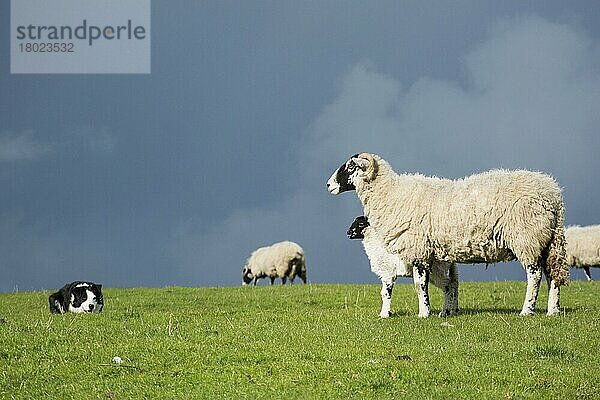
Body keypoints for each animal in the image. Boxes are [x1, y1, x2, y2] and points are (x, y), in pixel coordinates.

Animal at [328, 152, 568, 318]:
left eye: (350, 166)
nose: (328, 184)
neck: (391, 194)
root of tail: (553, 193)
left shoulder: (419, 250)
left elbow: (419, 285)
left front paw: (423, 313)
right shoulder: (428, 254)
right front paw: (435, 312)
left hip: (527, 238)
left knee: (535, 275)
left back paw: (527, 310)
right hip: (548, 240)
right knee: (552, 275)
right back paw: (553, 310)